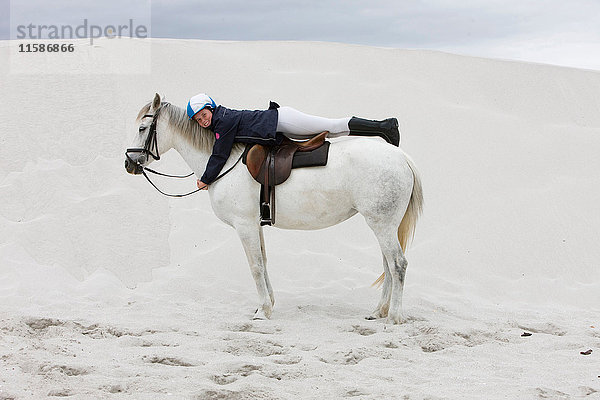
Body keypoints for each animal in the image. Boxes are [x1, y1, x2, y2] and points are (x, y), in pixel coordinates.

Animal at [123, 94, 422, 324]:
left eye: (142, 128)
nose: (129, 163)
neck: (227, 161)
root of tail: (402, 157)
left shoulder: (244, 225)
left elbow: (255, 266)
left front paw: (263, 311)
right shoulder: (255, 225)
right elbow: (264, 263)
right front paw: (267, 304)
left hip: (381, 224)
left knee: (397, 264)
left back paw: (394, 316)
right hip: (383, 225)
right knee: (388, 265)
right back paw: (378, 311)